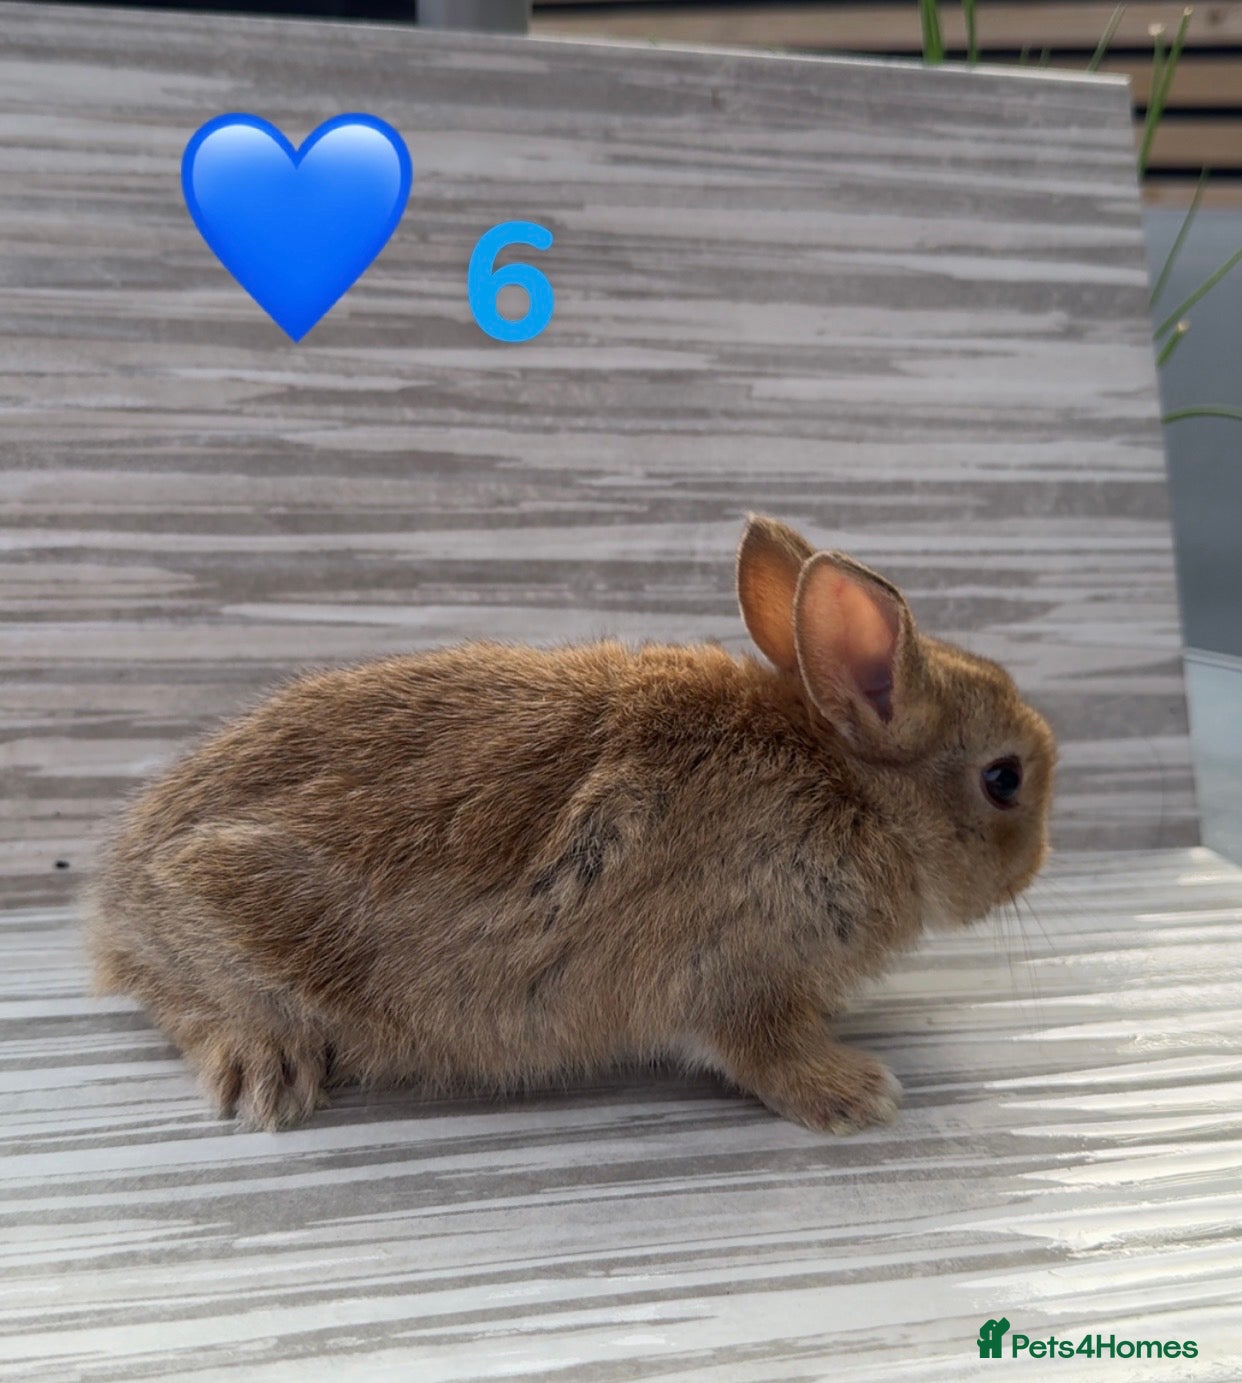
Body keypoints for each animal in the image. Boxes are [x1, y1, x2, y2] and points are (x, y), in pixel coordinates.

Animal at [84, 514, 1056, 1135]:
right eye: (1004, 779)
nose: (1033, 868)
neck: (855, 790)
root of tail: (117, 900)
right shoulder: (740, 969)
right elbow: (761, 1051)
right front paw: (858, 1094)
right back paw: (266, 1068)